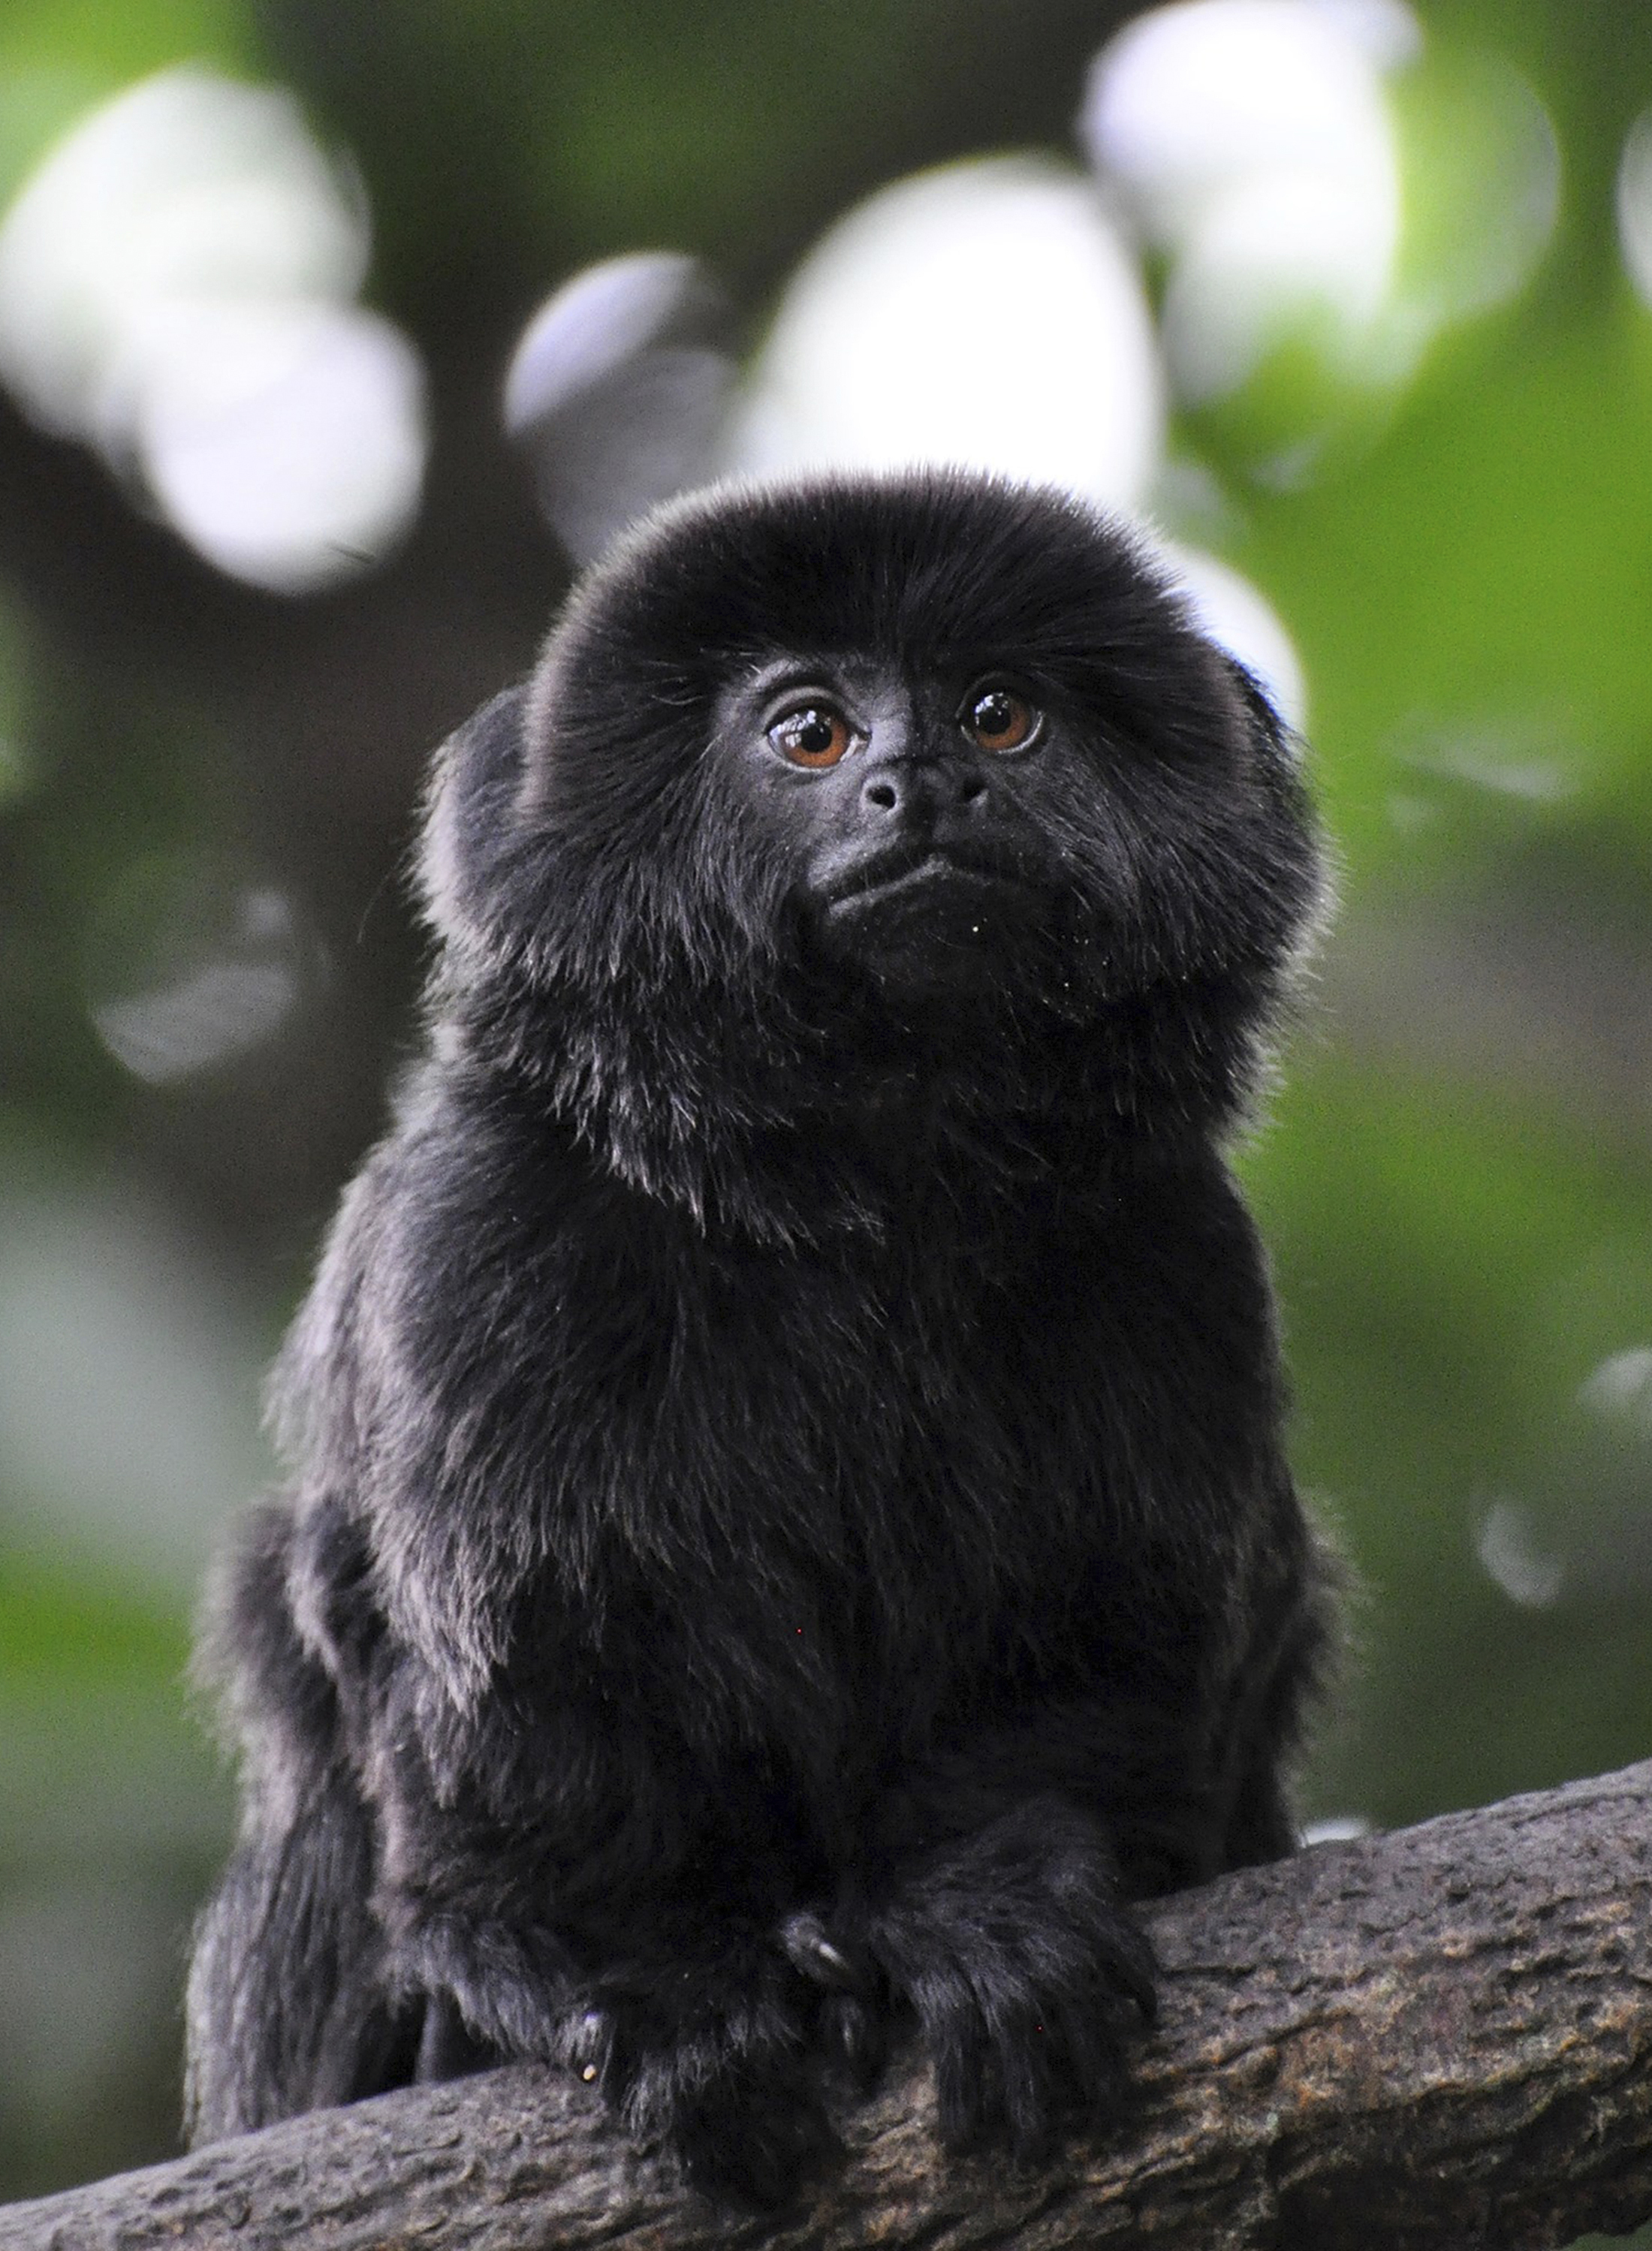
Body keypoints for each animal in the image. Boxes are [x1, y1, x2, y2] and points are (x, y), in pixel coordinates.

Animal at [185, 468, 1338, 2209]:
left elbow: (1104, 1651)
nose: (917, 785)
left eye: (1000, 717)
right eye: (807, 732)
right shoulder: (475, 1238)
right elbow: (478, 1660)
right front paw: (644, 1984)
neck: (859, 1197)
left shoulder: (1178, 1259)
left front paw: (984, 1905)